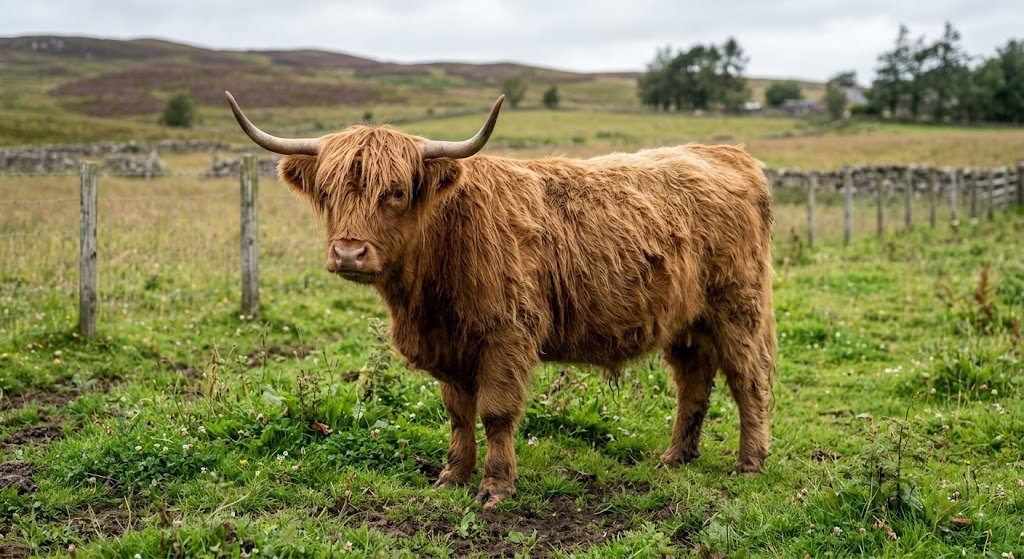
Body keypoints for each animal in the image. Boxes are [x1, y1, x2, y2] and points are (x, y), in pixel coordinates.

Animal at [225, 91, 776, 507]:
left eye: (396, 192)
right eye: (329, 191)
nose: (348, 252)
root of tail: (726, 153)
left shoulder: (507, 336)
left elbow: (495, 412)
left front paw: (495, 486)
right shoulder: (449, 345)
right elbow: (457, 412)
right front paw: (452, 475)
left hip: (737, 309)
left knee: (748, 381)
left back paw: (749, 464)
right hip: (685, 321)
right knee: (694, 384)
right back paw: (676, 457)